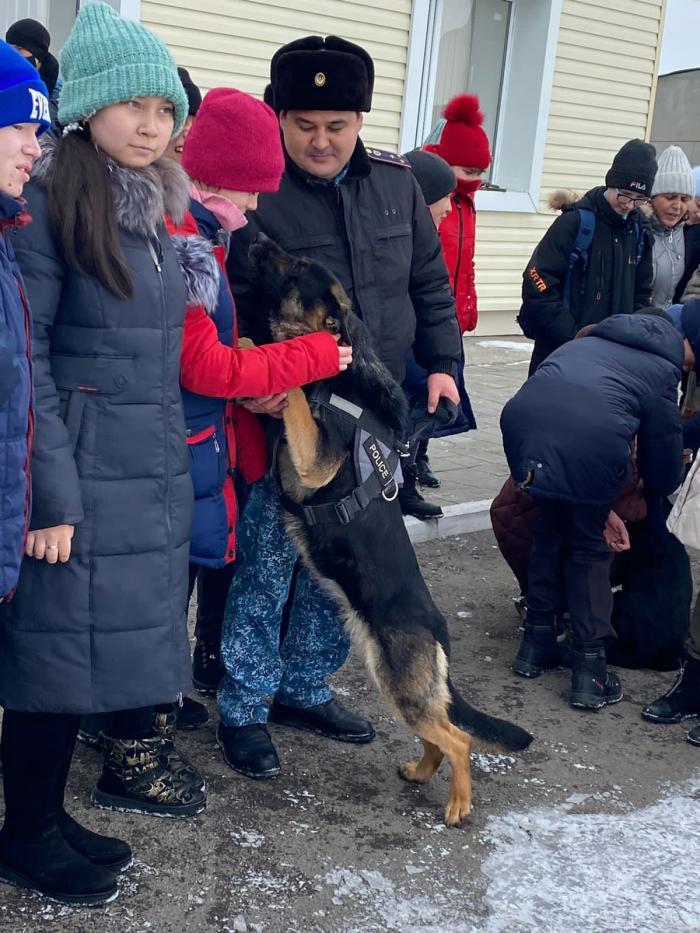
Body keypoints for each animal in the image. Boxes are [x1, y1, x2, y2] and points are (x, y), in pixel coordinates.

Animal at [246, 233, 532, 824]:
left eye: (296, 266)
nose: (253, 236)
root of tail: (438, 627)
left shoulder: (314, 459)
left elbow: (295, 395)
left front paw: (265, 354)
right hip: (397, 684)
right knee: (437, 736)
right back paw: (420, 773)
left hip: (400, 683)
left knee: (458, 739)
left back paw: (458, 804)